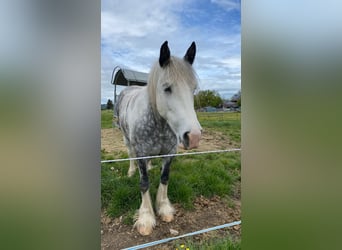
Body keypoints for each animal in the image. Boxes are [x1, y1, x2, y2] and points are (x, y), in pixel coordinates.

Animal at [115, 41, 202, 236]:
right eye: (167, 88)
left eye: (193, 89)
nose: (193, 137)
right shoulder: (140, 153)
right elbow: (144, 183)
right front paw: (146, 218)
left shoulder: (170, 153)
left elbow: (164, 178)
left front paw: (163, 208)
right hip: (126, 139)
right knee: (130, 155)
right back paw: (131, 171)